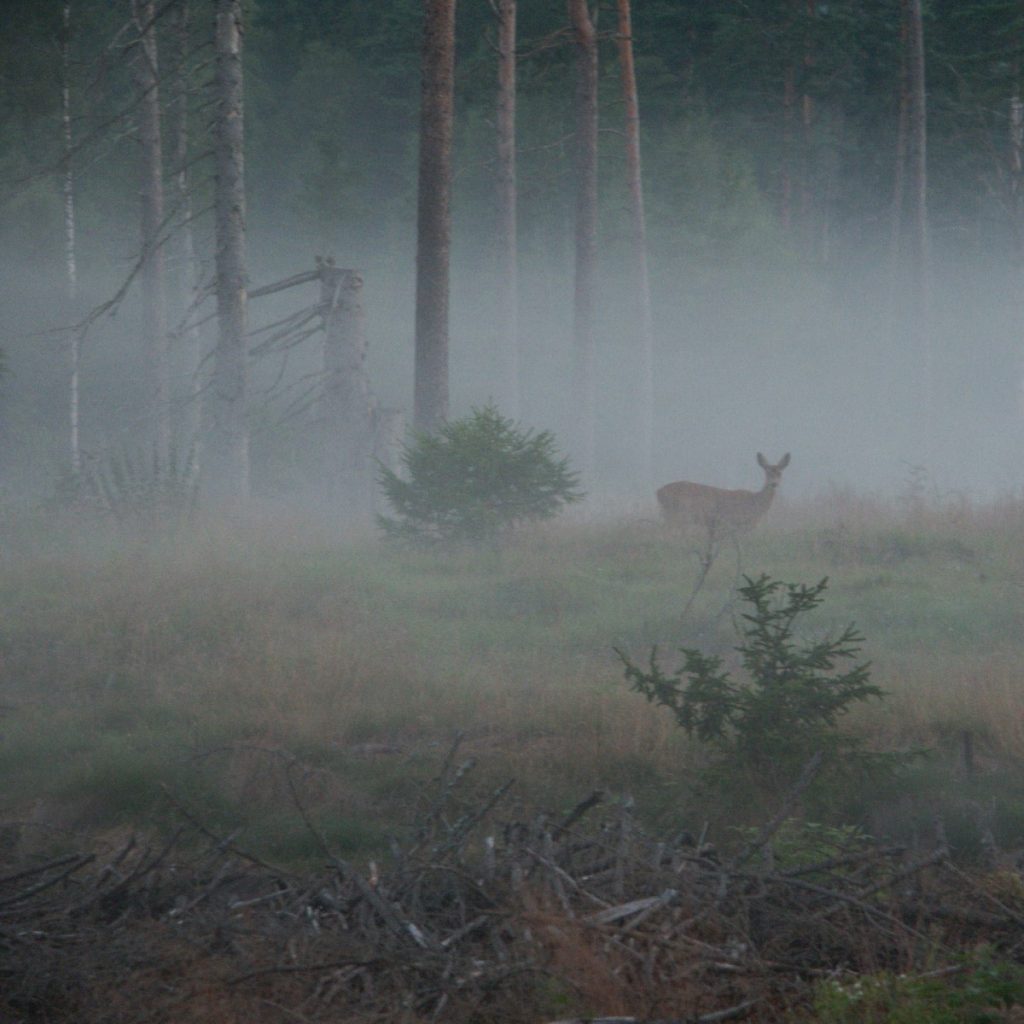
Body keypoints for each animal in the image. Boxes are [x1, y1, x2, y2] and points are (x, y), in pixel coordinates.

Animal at [656, 453, 791, 541]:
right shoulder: (734, 524)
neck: (755, 503)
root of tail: (658, 492)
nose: (774, 484)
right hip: (680, 513)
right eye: (767, 472)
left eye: (780, 473)